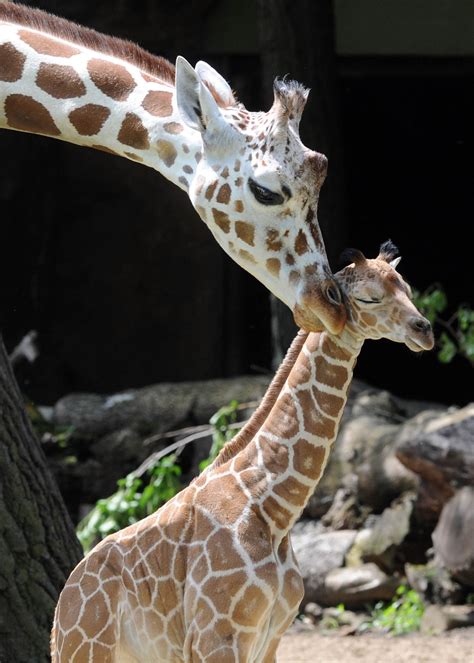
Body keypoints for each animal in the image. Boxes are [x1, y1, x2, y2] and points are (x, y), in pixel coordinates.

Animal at [51, 241, 434, 660]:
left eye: (407, 288)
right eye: (369, 297)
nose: (424, 330)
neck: (274, 508)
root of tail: (59, 612)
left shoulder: (270, 639)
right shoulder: (216, 636)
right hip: (89, 649)